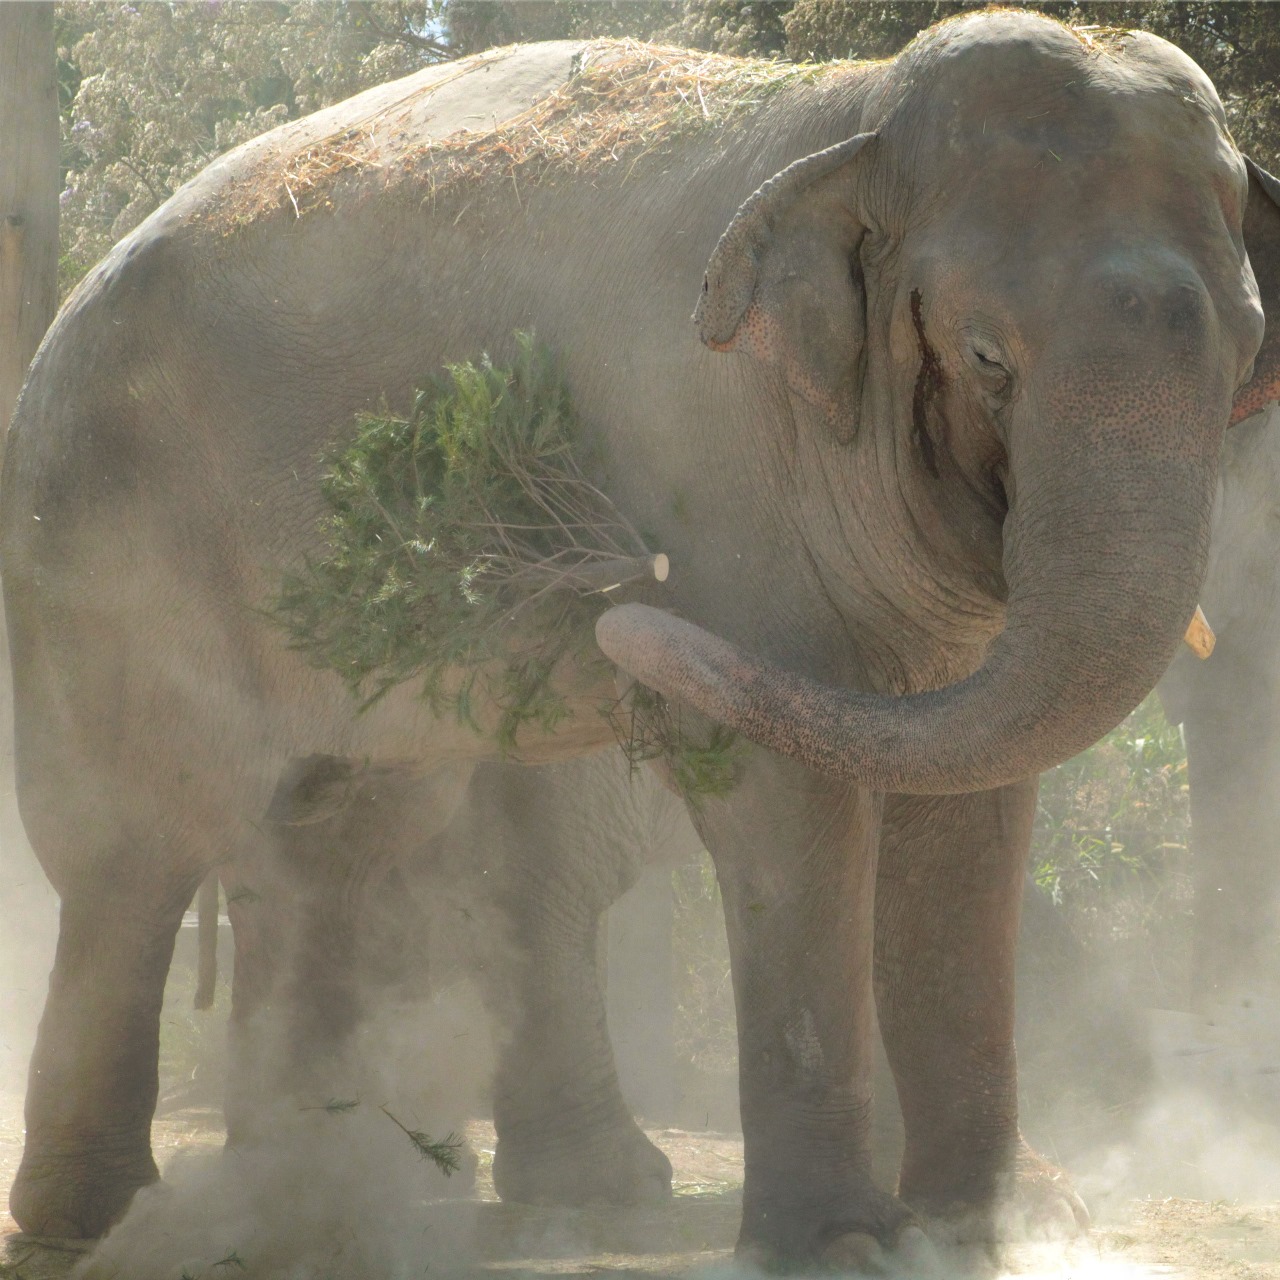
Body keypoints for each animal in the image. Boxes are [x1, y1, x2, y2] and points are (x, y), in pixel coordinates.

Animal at [2, 7, 1280, 1269]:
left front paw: (1006, 1227)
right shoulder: (721, 464)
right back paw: (110, 1217)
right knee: (134, 850)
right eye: (984, 357)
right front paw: (842, 1245)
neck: (852, 115)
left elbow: (972, 815)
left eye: (1245, 355)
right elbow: (787, 803)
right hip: (102, 549)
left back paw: (322, 1201)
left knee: (328, 840)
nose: (624, 588)